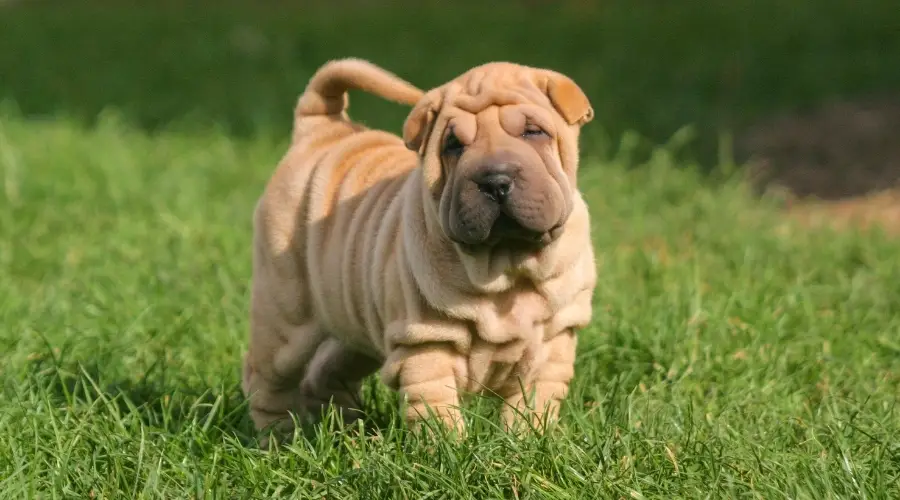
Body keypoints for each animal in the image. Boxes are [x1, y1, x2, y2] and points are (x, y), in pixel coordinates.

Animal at [243, 59, 596, 442]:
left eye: (534, 133)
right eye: (453, 145)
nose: (495, 181)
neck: (505, 265)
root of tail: (321, 130)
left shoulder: (553, 341)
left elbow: (532, 404)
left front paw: (527, 441)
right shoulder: (427, 344)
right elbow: (436, 410)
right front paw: (449, 449)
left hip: (351, 320)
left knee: (327, 369)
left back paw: (345, 430)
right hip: (285, 318)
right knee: (268, 379)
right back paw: (280, 437)